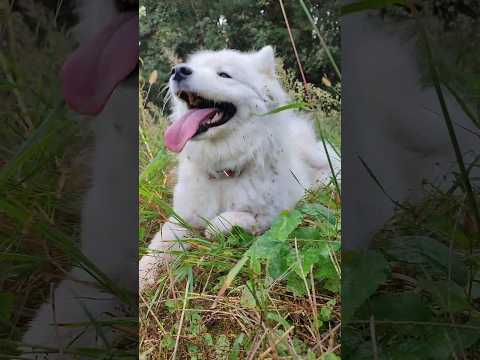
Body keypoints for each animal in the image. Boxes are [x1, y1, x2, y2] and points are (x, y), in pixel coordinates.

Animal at [139, 45, 342, 290]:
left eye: (224, 75)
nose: (177, 71)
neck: (224, 171)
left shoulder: (277, 215)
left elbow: (233, 218)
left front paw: (214, 227)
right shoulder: (181, 219)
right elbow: (156, 248)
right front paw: (142, 275)